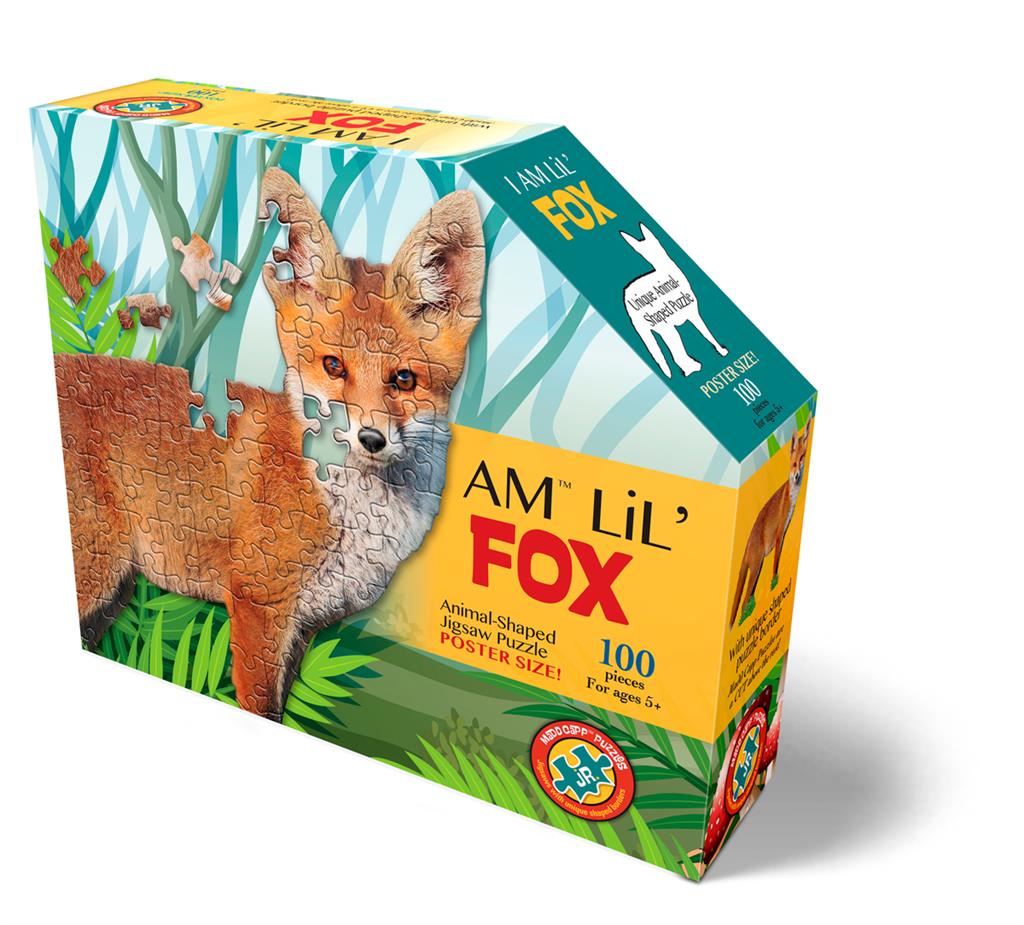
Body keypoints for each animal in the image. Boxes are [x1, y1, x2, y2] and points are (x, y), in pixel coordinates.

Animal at [54, 167, 483, 720]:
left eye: (404, 379)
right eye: (333, 366)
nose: (370, 438)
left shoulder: (304, 625)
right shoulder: (259, 607)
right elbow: (259, 706)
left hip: (111, 592)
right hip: (97, 575)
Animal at [729, 424, 811, 627]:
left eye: (802, 458)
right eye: (793, 463)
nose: (796, 476)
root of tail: (746, 544)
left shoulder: (786, 530)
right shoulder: (780, 533)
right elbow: (776, 564)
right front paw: (775, 582)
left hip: (756, 569)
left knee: (746, 600)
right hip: (756, 566)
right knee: (742, 603)